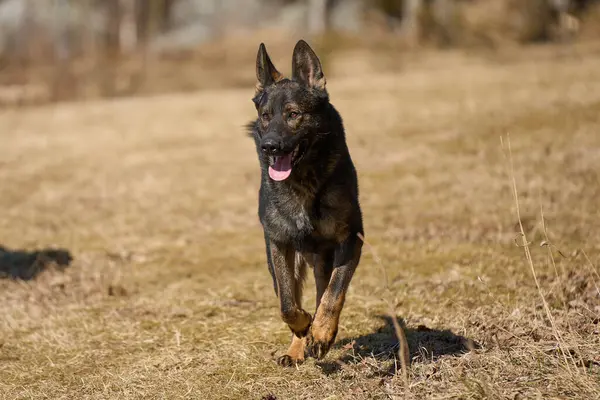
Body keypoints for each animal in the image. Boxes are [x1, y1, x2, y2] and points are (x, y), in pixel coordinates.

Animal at [246, 39, 364, 366]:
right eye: (265, 116)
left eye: (293, 114)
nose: (269, 146)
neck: (303, 181)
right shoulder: (278, 244)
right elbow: (287, 305)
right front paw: (304, 329)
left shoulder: (351, 240)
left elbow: (333, 293)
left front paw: (322, 332)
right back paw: (297, 347)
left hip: (323, 257)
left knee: (324, 291)